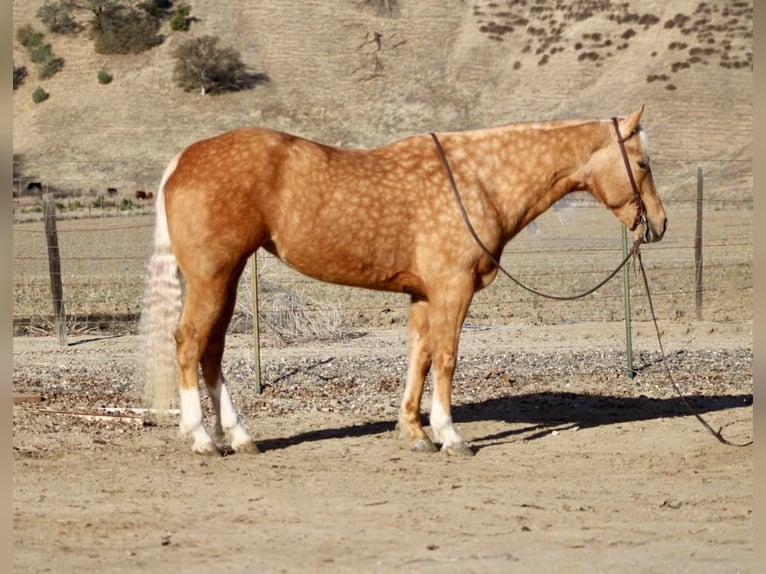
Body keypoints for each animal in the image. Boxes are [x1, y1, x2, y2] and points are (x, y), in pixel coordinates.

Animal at [140, 105, 667, 456]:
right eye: (643, 164)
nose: (659, 224)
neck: (480, 180)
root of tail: (184, 159)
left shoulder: (423, 295)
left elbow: (420, 357)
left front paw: (414, 432)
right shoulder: (453, 290)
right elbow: (447, 358)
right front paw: (450, 435)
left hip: (224, 280)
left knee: (211, 352)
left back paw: (241, 437)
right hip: (211, 278)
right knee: (189, 343)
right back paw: (202, 439)